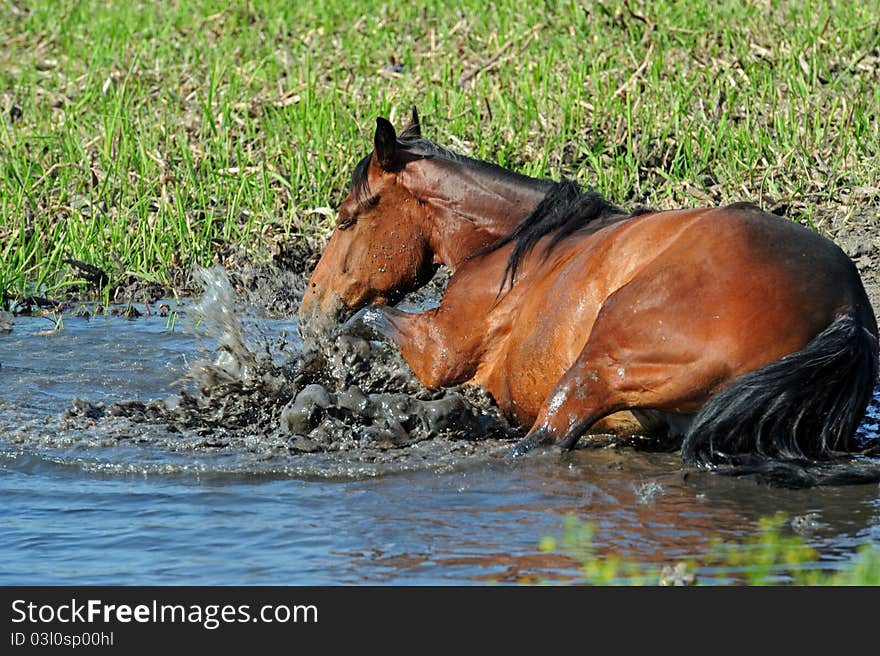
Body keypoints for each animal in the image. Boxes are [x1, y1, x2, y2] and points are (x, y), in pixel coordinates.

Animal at [300, 110, 876, 464]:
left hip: (602, 366)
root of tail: (846, 307)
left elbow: (370, 320)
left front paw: (339, 363)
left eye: (346, 218)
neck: (518, 243)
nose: (309, 309)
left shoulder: (439, 349)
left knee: (546, 438)